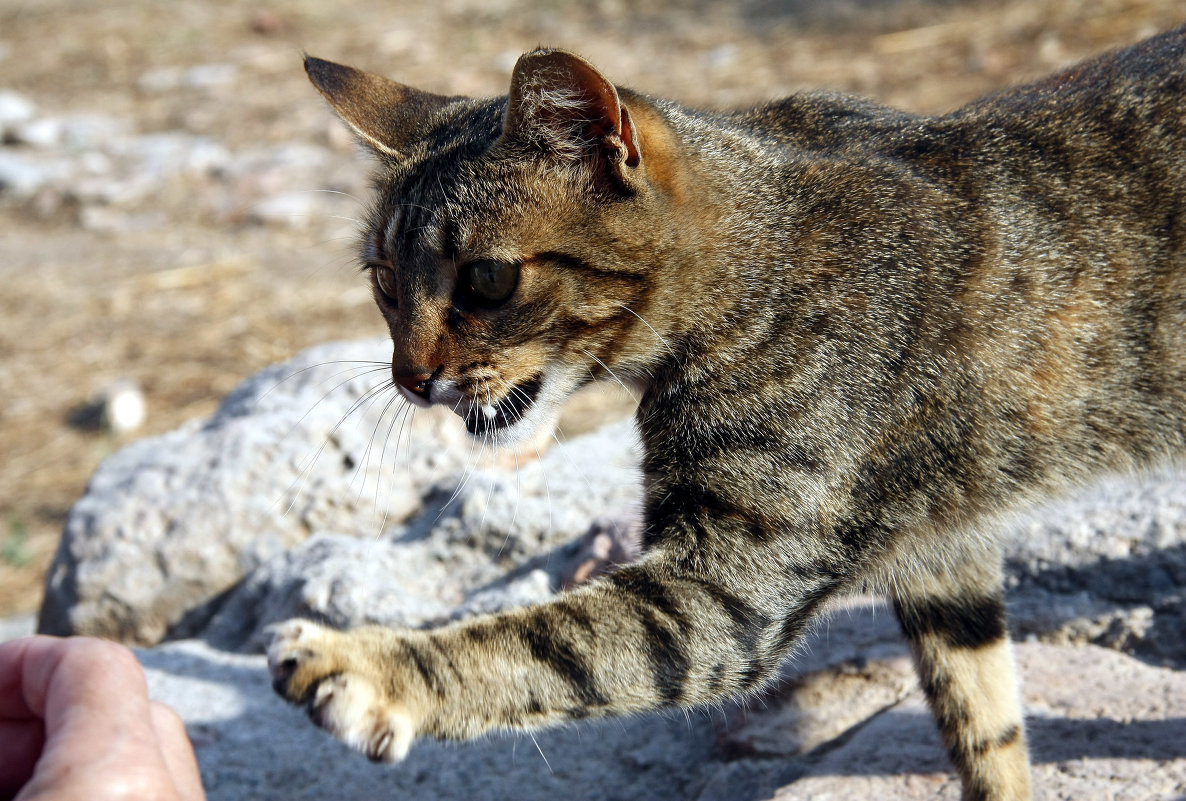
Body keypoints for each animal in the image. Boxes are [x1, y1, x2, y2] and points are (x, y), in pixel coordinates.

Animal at [269, 26, 1186, 801]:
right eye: (384, 283)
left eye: (487, 280)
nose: (409, 377)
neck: (758, 260)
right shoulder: (944, 553)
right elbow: (984, 723)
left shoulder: (728, 582)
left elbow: (546, 644)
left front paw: (368, 668)